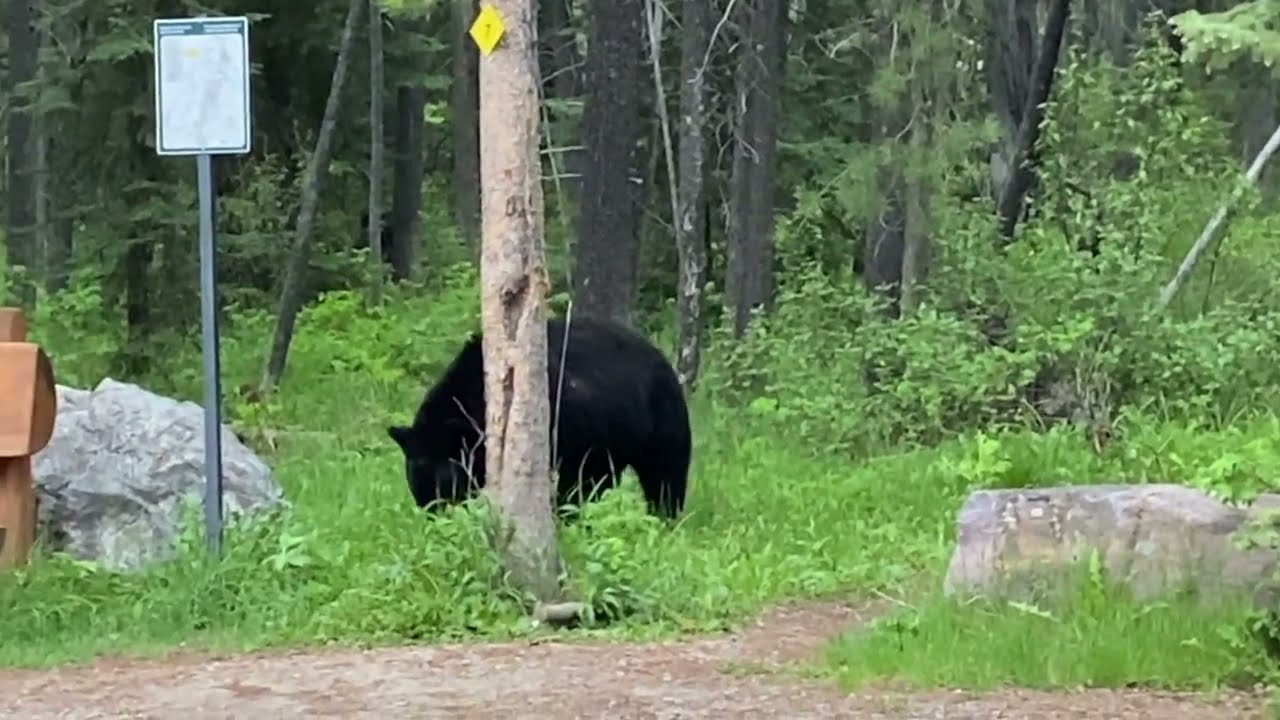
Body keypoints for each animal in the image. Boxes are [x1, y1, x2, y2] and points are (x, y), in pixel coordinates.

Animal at [386, 315, 692, 519]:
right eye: (415, 479)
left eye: (442, 480)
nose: (432, 511)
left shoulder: (567, 422)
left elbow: (575, 478)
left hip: (661, 417)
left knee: (665, 473)